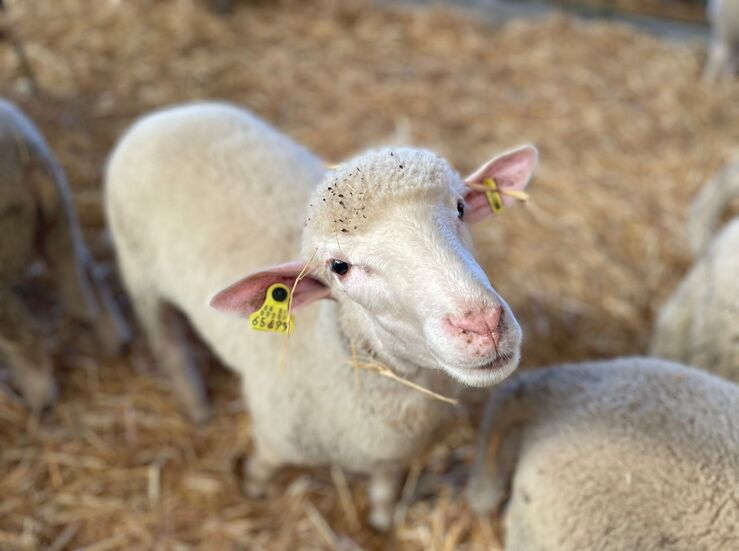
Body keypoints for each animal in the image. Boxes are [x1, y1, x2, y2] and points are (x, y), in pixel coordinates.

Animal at [0, 99, 131, 412]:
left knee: (25, 337)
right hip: (59, 219)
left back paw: (39, 401)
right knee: (86, 274)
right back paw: (116, 342)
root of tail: (25, 159)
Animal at [105, 100, 536, 532]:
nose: (482, 324)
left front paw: (382, 525)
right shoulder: (274, 440)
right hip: (139, 270)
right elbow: (260, 470)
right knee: (168, 342)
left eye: (461, 208)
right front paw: (253, 491)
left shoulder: (391, 454)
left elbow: (384, 493)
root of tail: (170, 114)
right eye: (339, 267)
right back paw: (196, 405)